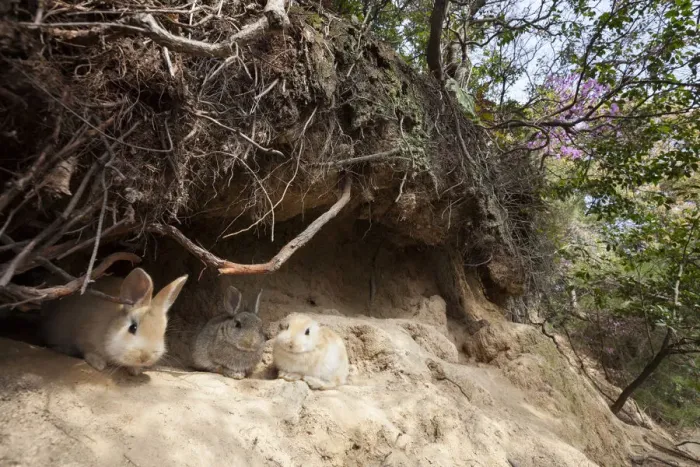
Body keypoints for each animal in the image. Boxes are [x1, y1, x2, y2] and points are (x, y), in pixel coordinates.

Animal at [42, 268, 188, 376]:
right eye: (133, 327)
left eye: (163, 332)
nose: (145, 357)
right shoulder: (83, 339)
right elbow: (88, 352)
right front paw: (99, 365)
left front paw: (135, 370)